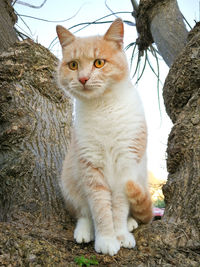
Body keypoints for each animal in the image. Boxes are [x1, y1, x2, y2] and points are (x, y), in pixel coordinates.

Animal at [55, 18, 152, 258]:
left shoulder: (126, 167)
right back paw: (84, 231)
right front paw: (106, 239)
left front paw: (120, 235)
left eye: (99, 63)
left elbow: (119, 208)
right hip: (69, 181)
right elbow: (99, 209)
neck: (103, 109)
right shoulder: (90, 167)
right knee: (83, 213)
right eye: (73, 65)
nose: (83, 78)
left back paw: (130, 224)